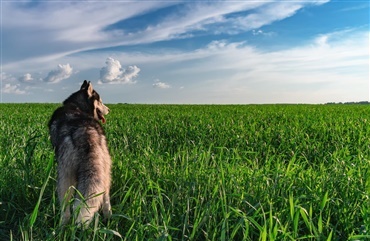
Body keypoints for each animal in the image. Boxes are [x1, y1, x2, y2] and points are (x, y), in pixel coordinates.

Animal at [49, 80, 112, 227]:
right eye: (100, 101)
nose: (109, 110)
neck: (77, 106)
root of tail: (86, 132)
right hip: (105, 171)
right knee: (106, 198)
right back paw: (109, 220)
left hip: (65, 175)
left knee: (66, 209)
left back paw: (61, 227)